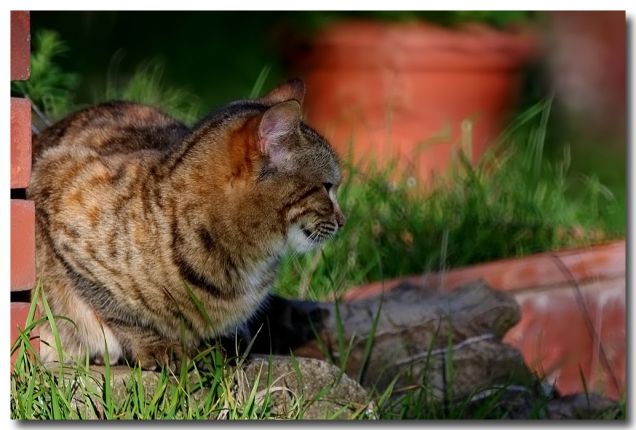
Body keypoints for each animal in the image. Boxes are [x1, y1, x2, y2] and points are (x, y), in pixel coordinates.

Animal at [29, 79, 346, 368]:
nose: (343, 220)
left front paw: (220, 345)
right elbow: (116, 309)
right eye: (327, 187)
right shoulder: (58, 187)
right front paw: (156, 346)